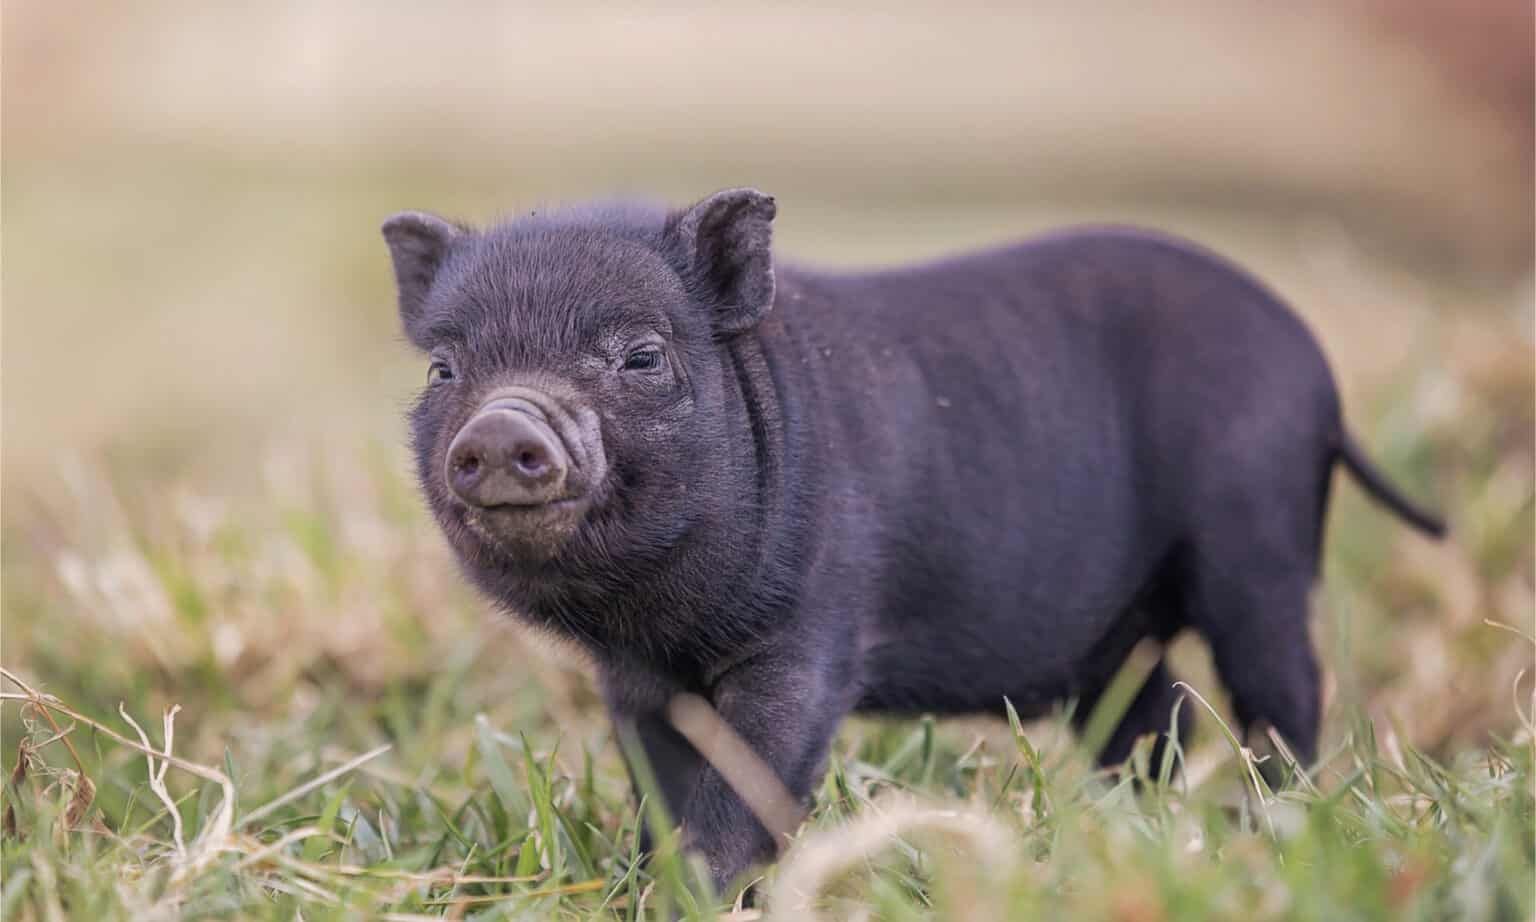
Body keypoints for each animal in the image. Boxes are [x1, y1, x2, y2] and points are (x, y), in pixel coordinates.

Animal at [381, 188, 1445, 890]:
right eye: (444, 369)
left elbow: (754, 775)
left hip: (1258, 534)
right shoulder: (637, 679)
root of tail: (1318, 374)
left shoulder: (813, 632)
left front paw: (707, 891)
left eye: (641, 356)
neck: (660, 617)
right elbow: (660, 781)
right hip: (1115, 630)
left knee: (1282, 687)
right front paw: (648, 885)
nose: (501, 427)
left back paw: (1270, 822)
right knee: (1161, 712)